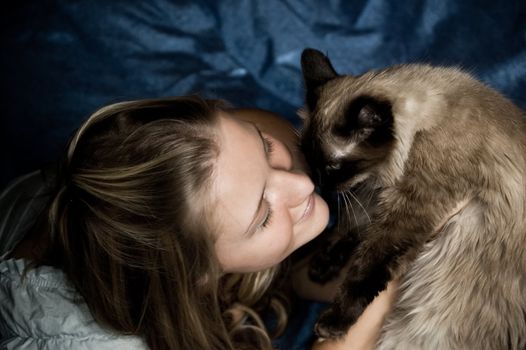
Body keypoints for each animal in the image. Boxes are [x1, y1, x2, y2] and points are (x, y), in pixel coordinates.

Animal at [302, 48, 526, 350]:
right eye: (309, 159)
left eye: (332, 167)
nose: (319, 186)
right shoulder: (376, 196)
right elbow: (350, 228)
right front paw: (321, 265)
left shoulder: (408, 211)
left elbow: (365, 266)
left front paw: (333, 322)